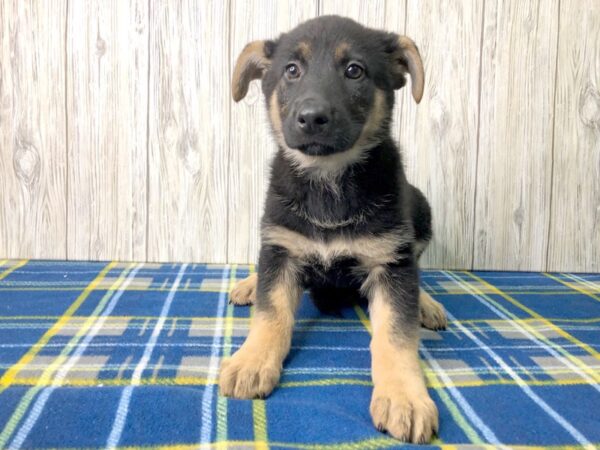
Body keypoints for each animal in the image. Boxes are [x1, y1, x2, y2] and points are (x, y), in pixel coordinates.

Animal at [219, 14, 446, 442]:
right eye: (292, 70)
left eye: (354, 70)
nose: (311, 117)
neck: (328, 184)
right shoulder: (280, 247)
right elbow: (271, 312)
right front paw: (252, 360)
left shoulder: (391, 260)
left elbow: (396, 333)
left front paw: (404, 396)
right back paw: (249, 285)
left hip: (420, 209)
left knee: (416, 273)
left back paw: (426, 303)